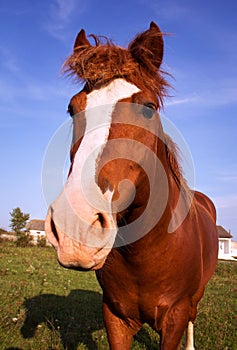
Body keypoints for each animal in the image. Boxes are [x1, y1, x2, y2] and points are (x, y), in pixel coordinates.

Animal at [45, 22, 218, 350]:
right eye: (72, 109)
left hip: (195, 297)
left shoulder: (175, 318)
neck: (147, 254)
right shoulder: (115, 317)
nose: (76, 229)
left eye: (149, 108)